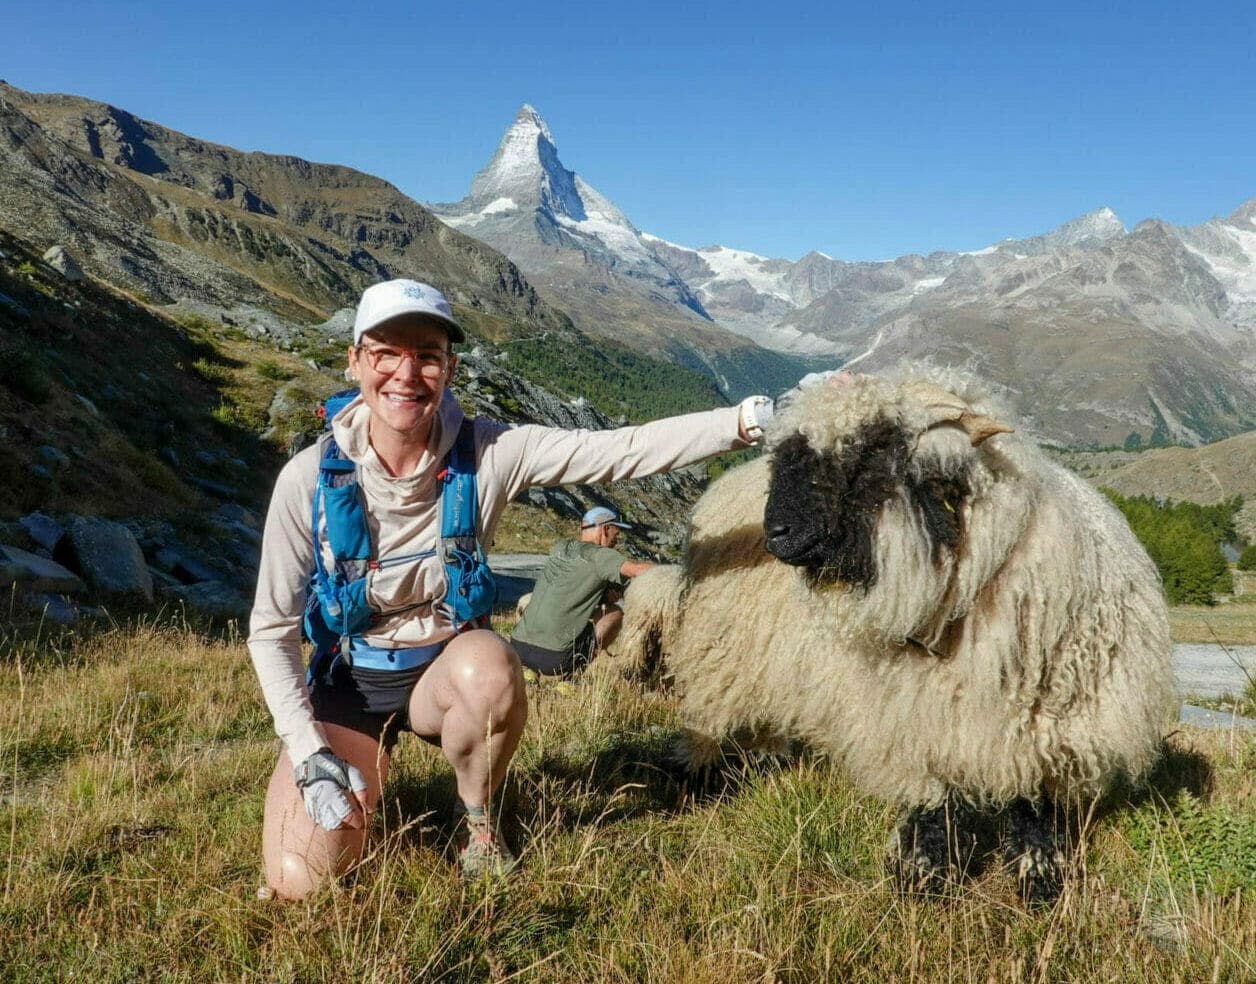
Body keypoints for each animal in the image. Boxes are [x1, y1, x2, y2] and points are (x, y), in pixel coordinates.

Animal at [617, 371, 1175, 909]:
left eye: (870, 454)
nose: (777, 533)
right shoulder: (912, 719)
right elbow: (932, 804)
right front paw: (921, 882)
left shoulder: (1048, 730)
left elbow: (1033, 809)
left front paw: (1039, 883)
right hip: (725, 646)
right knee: (712, 711)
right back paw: (695, 771)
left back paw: (766, 760)